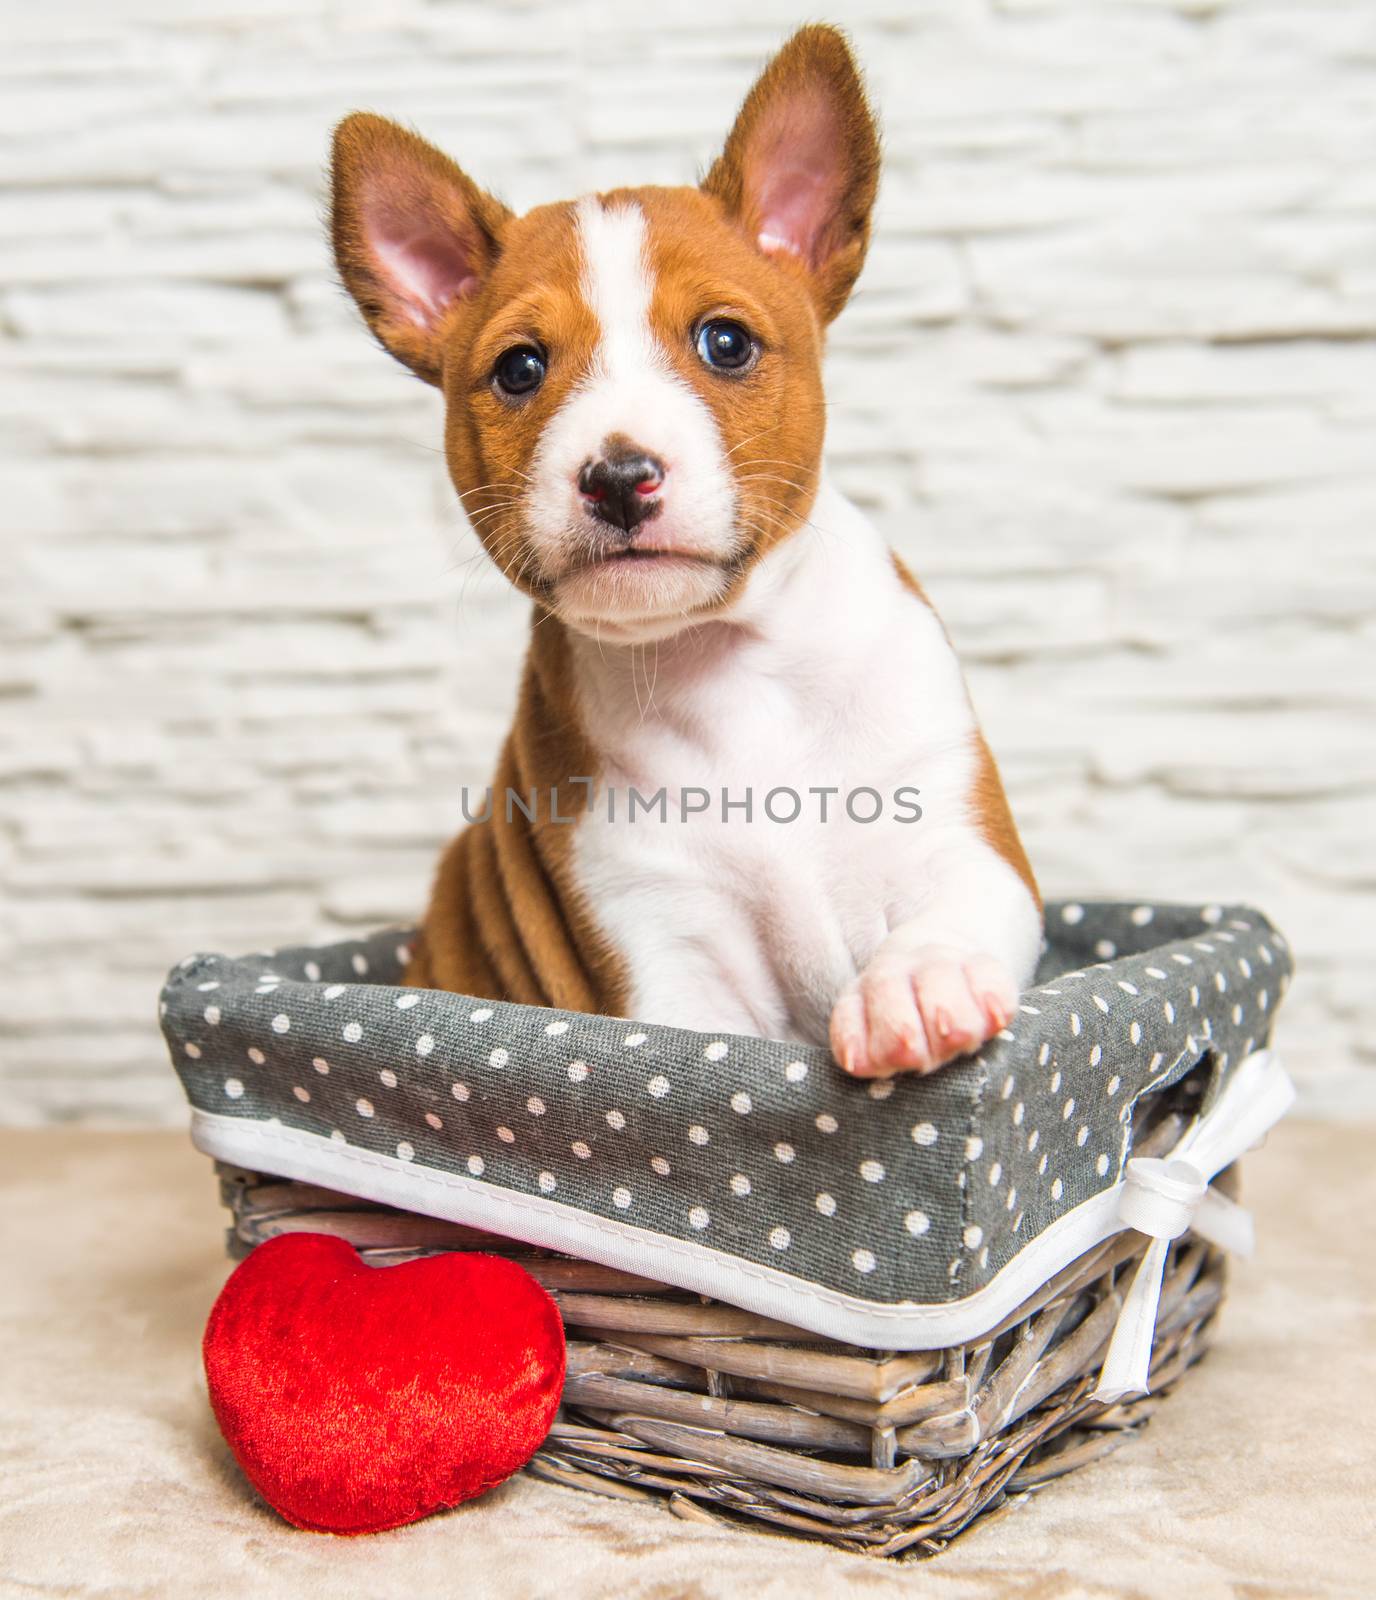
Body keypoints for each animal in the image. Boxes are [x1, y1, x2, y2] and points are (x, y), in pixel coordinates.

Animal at [331, 21, 1043, 1075]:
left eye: (725, 343)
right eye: (520, 368)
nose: (619, 476)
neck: (729, 668)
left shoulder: (959, 836)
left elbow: (953, 909)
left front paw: (919, 984)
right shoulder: (660, 948)